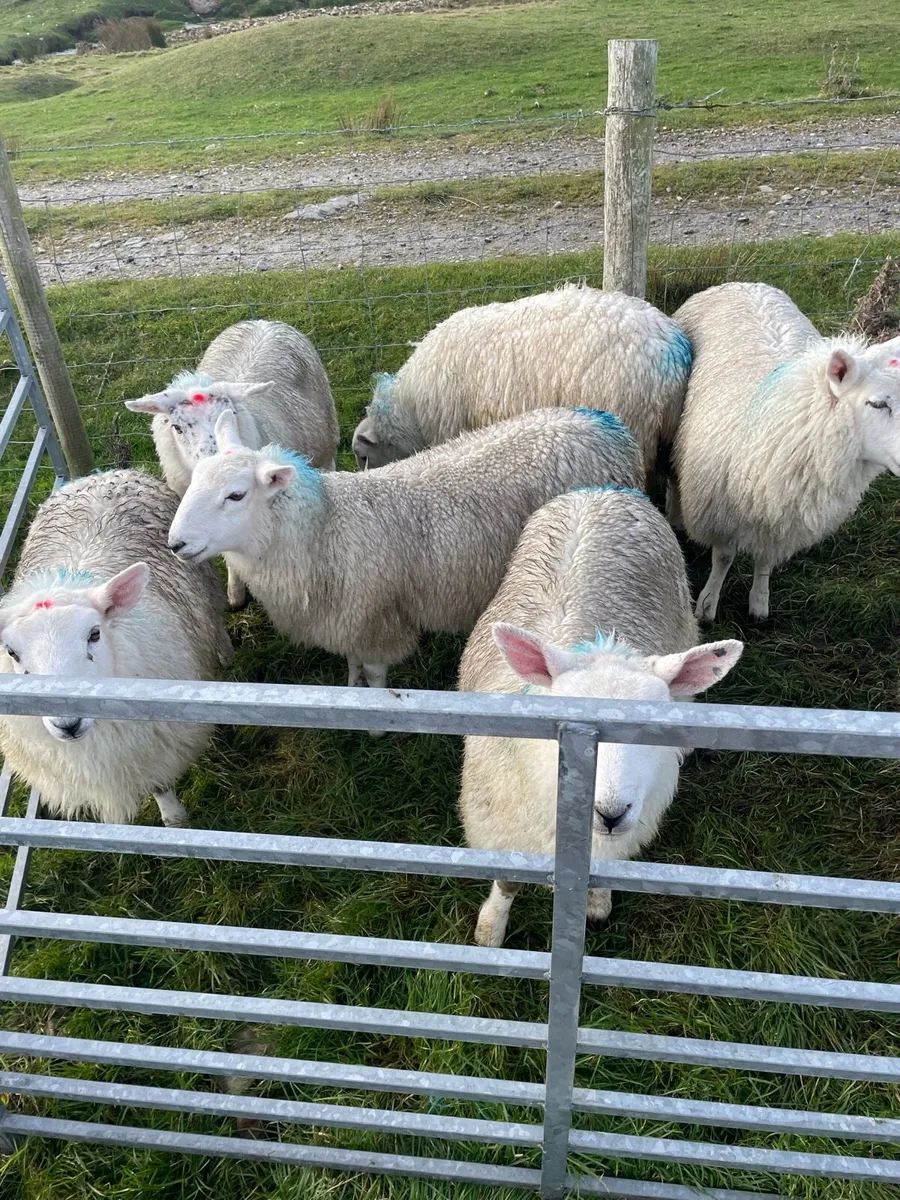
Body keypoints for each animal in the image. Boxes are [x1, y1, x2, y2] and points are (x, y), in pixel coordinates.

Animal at [0, 470, 232, 826]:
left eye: (94, 634)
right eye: (12, 652)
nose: (67, 723)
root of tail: (104, 474)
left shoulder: (156, 745)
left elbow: (160, 786)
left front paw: (176, 819)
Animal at [125, 319, 339, 610]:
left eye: (230, 415)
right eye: (177, 428)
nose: (215, 462)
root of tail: (263, 321)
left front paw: (236, 593)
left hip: (326, 439)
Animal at [167, 407, 643, 701]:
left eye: (236, 495)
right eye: (196, 479)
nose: (175, 544)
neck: (325, 527)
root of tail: (603, 422)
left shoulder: (378, 617)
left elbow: (377, 673)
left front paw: (375, 719)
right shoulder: (348, 615)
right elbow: (353, 659)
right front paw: (350, 687)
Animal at [458, 487, 743, 946]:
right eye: (555, 725)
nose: (610, 813)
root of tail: (602, 491)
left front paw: (594, 904)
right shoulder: (502, 828)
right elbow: (507, 884)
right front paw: (491, 931)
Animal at [672, 281, 900, 622]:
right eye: (876, 403)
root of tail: (744, 283)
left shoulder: (782, 518)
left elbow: (765, 560)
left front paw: (758, 604)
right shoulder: (720, 509)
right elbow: (723, 557)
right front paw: (708, 605)